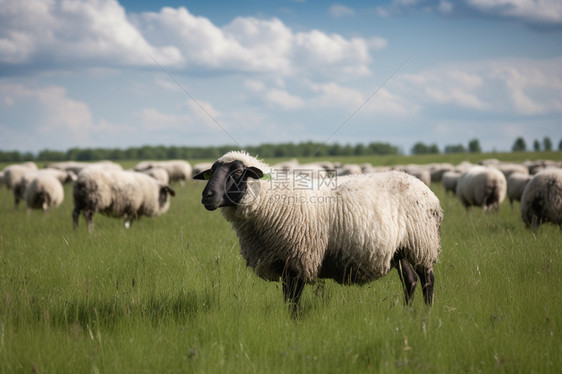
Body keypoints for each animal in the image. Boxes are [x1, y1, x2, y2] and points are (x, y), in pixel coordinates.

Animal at [195, 151, 444, 310]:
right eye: (210, 172)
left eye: (238, 172)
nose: (207, 196)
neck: (268, 201)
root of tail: (424, 187)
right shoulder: (283, 261)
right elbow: (288, 301)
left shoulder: (298, 260)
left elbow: (293, 303)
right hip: (401, 250)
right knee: (410, 281)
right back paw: (408, 315)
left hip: (422, 244)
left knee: (427, 280)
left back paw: (427, 316)